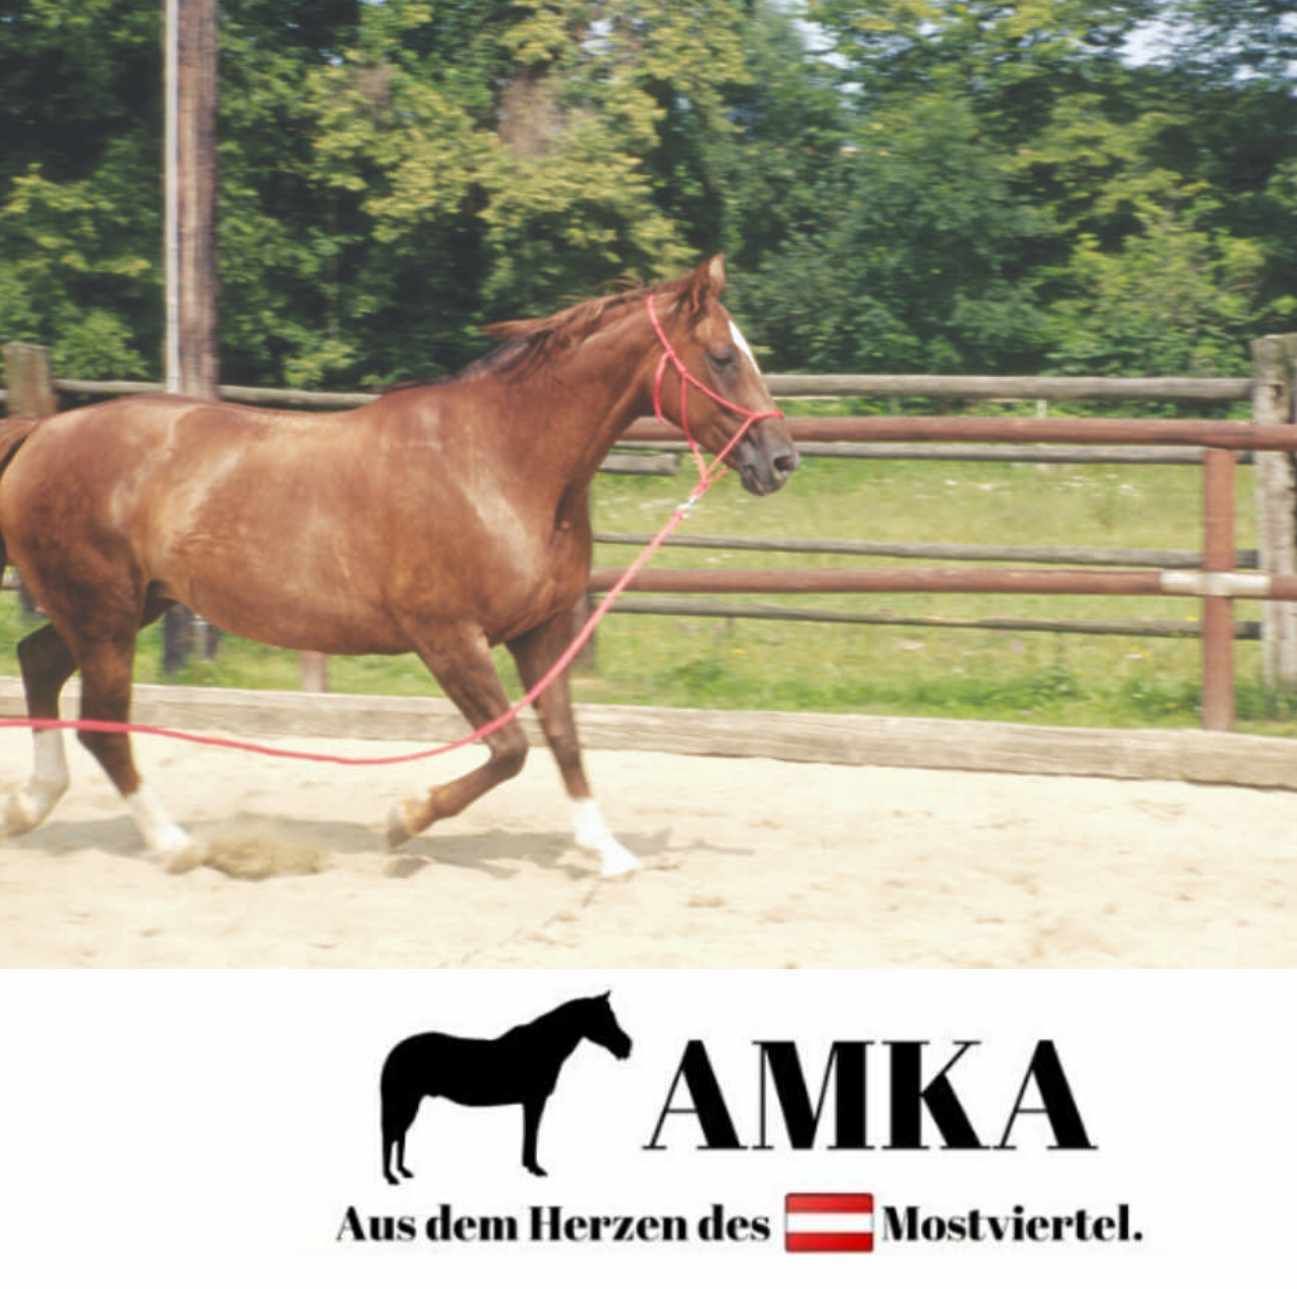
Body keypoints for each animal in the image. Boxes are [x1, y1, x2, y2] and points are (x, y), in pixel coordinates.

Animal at [0, 255, 797, 875]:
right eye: (722, 357)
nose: (781, 459)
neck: (500, 461)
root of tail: (42, 430)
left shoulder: (542, 629)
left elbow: (565, 738)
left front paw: (607, 851)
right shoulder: (446, 636)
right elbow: (509, 748)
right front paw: (403, 818)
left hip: (126, 606)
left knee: (39, 662)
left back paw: (29, 806)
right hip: (104, 612)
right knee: (104, 722)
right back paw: (174, 844)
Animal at [380, 991, 632, 1181]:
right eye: (604, 1018)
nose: (627, 1046)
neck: (541, 1047)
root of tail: (395, 1052)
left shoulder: (530, 1102)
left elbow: (530, 1133)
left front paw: (529, 1166)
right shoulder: (534, 1101)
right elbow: (532, 1133)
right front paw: (535, 1168)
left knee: (399, 1134)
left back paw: (402, 1172)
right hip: (405, 1102)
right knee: (391, 1135)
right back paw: (391, 1177)